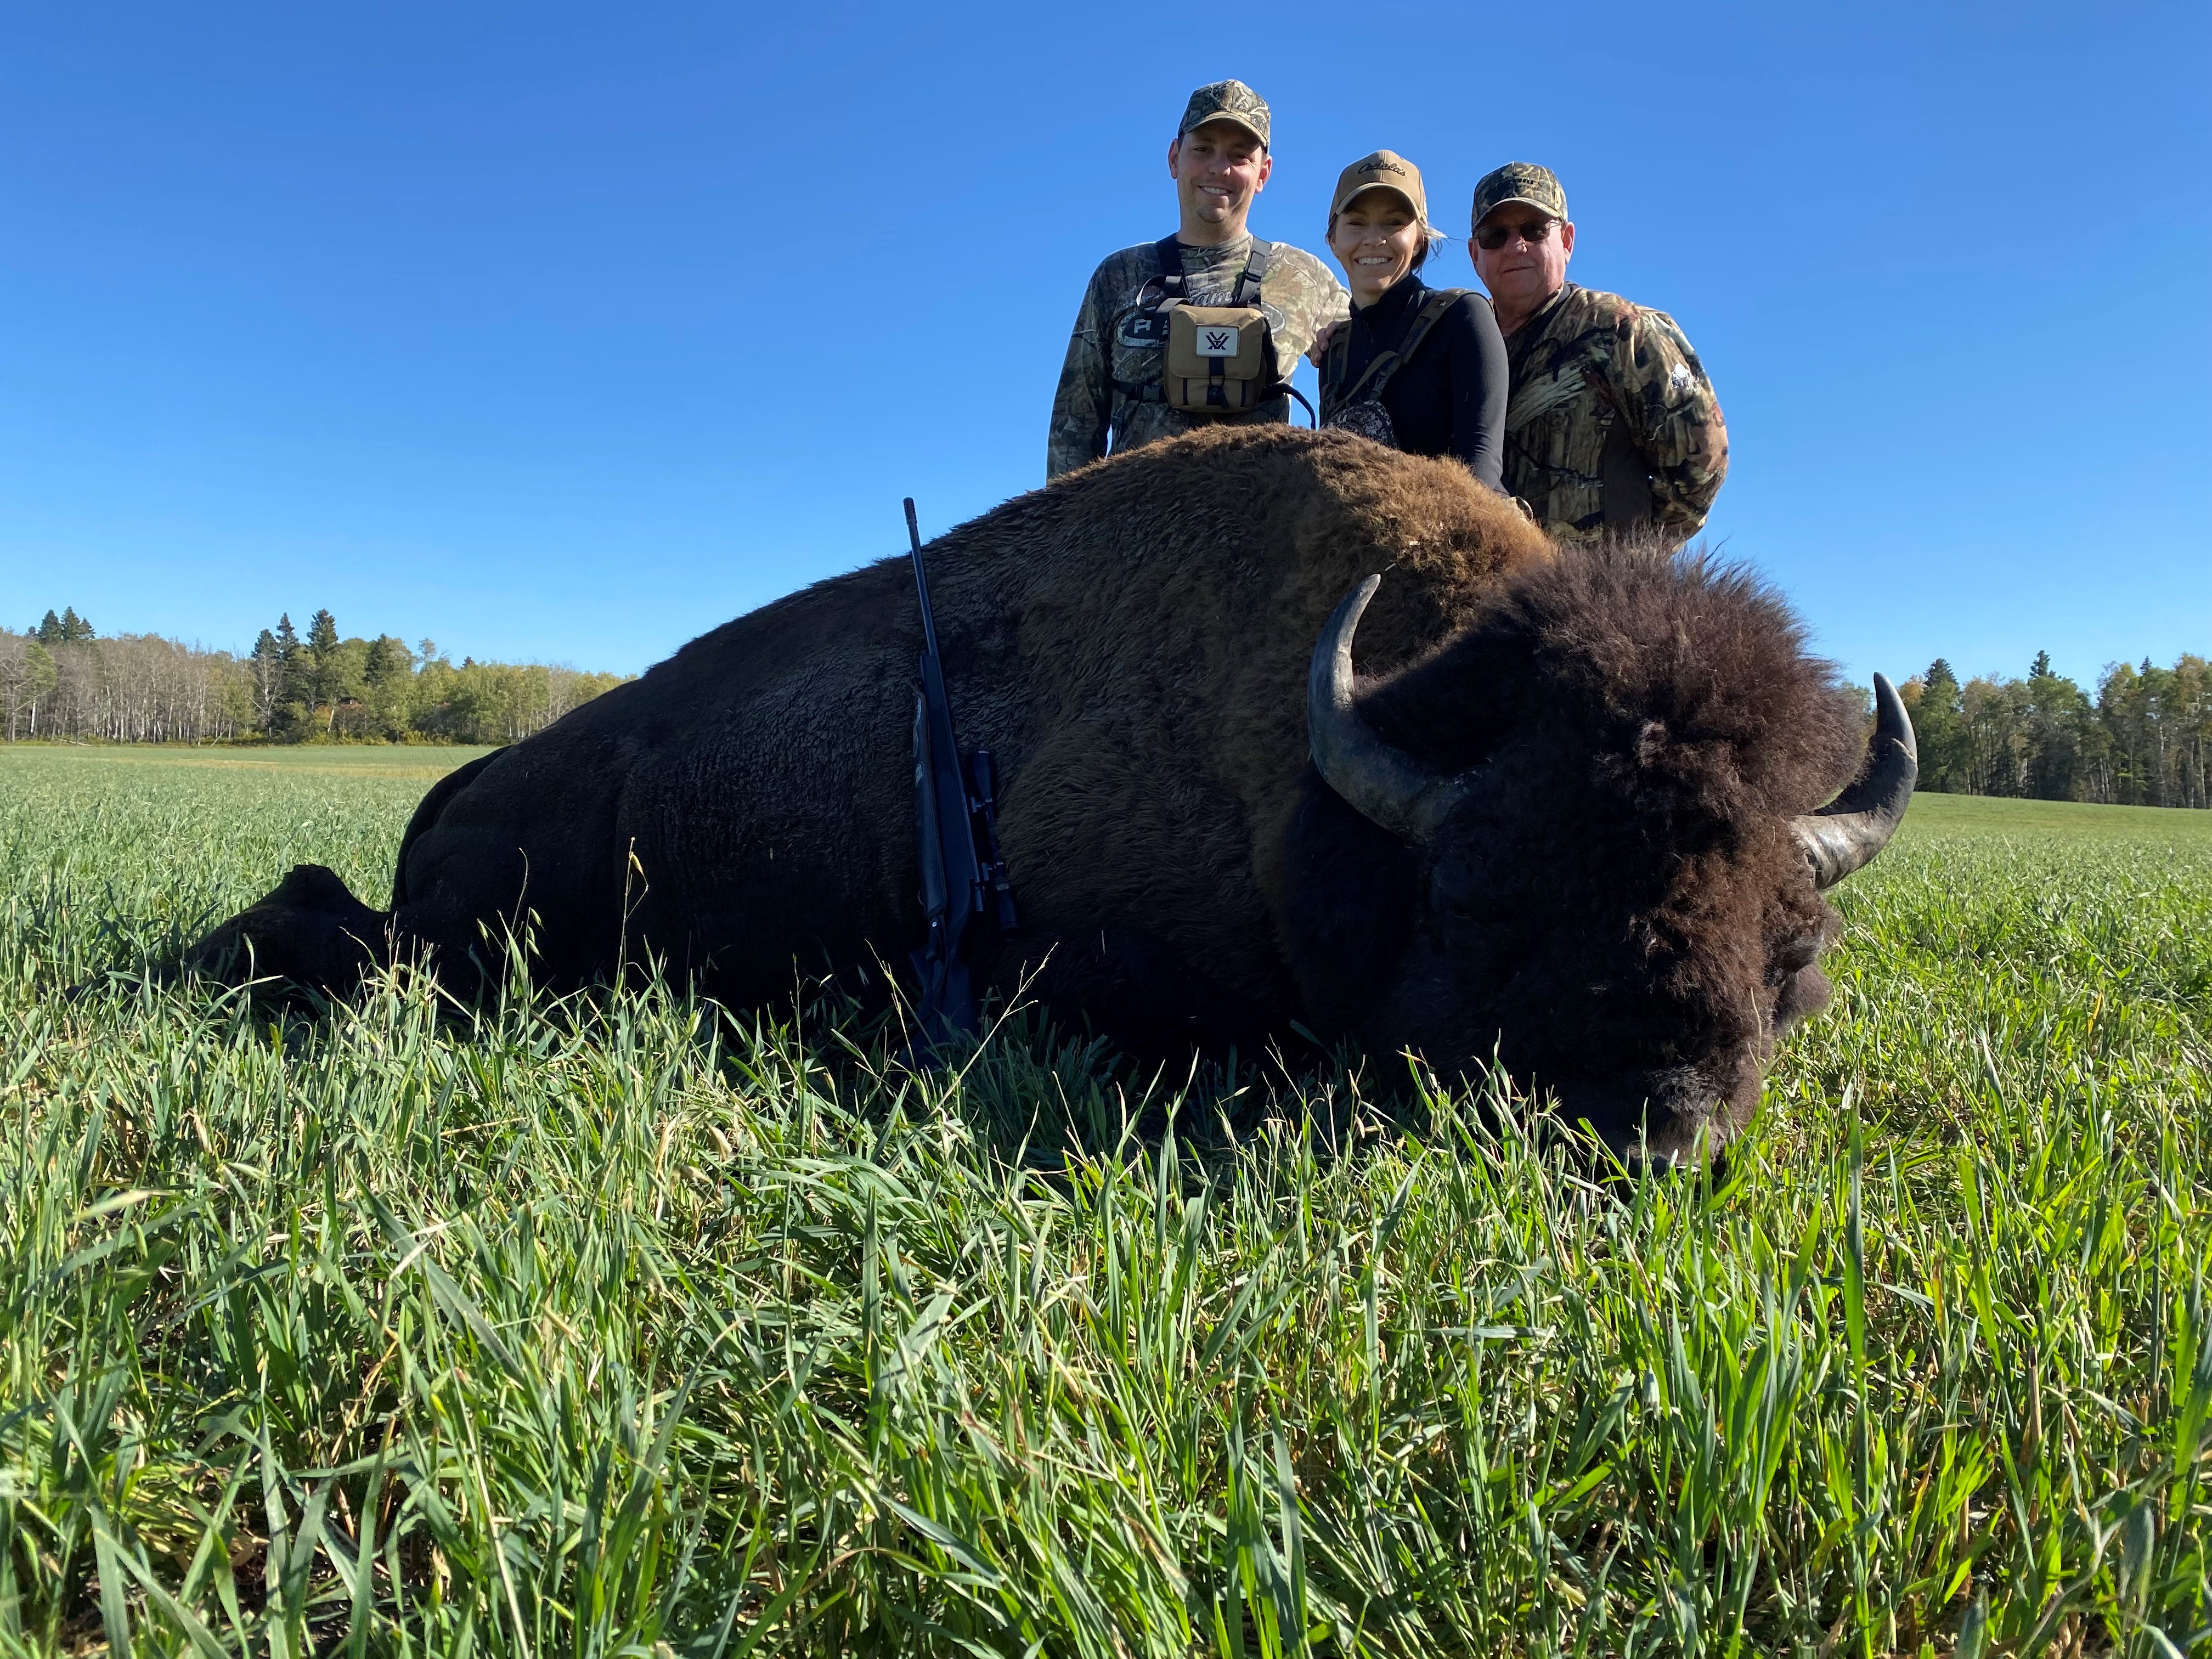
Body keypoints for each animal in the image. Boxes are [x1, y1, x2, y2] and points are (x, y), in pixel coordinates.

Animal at [189, 425, 1914, 1165]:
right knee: (334, 933)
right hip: (472, 950)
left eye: (1794, 948)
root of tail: (455, 788)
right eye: (1489, 898)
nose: (1662, 1136)